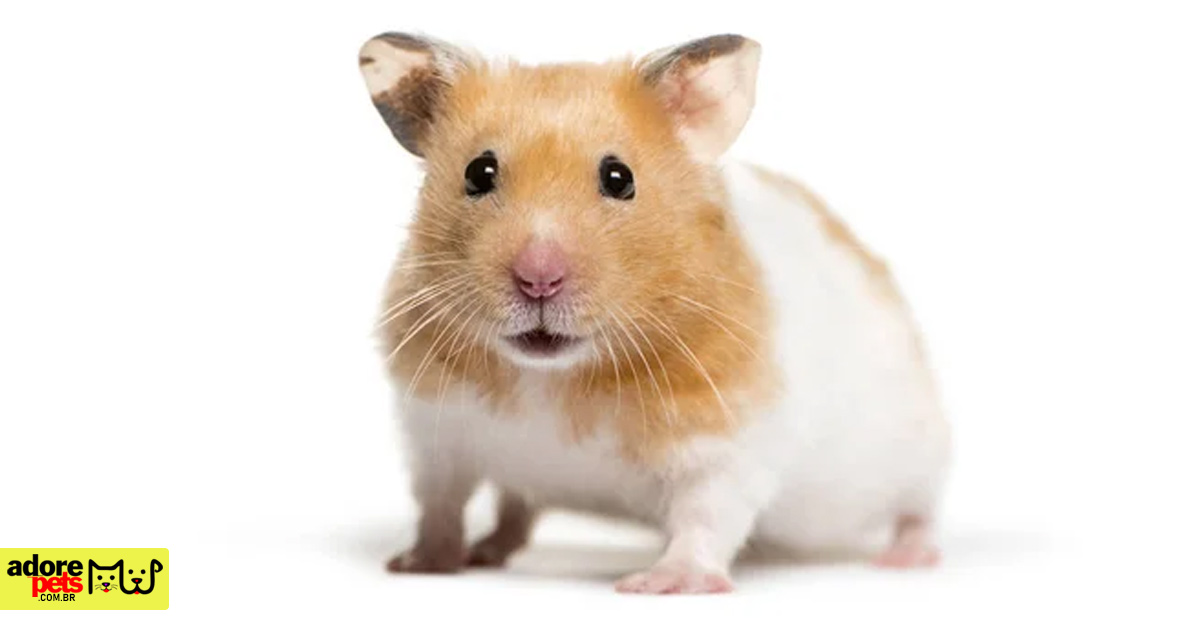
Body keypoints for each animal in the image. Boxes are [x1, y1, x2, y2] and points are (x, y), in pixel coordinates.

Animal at [357, 32, 950, 594]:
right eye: (478, 173)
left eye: (619, 178)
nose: (538, 279)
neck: (550, 378)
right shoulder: (433, 431)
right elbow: (440, 504)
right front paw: (417, 565)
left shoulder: (727, 440)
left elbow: (706, 515)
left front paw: (659, 584)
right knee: (515, 508)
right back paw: (486, 551)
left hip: (917, 447)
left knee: (920, 507)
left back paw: (908, 558)